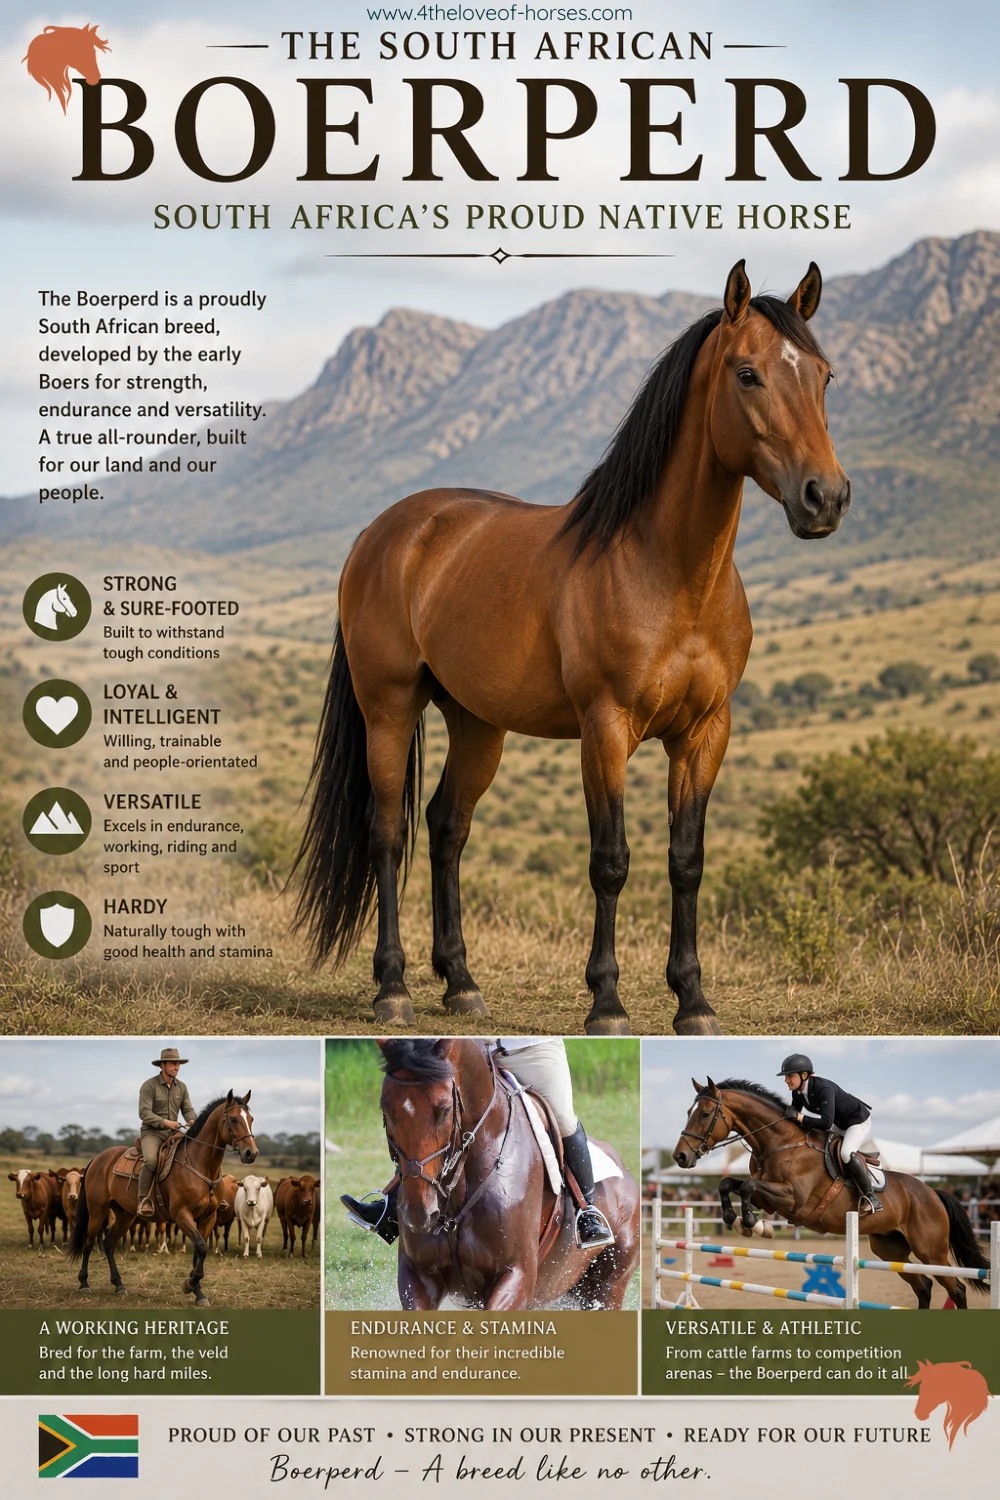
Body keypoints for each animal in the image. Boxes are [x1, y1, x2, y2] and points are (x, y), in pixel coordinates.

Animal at [69, 1092, 257, 1306]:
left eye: (251, 1119)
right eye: (233, 1119)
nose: (251, 1153)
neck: (200, 1164)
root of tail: (98, 1159)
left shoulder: (207, 1218)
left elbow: (199, 1251)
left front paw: (197, 1292)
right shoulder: (181, 1215)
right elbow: (201, 1247)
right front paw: (190, 1284)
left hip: (125, 1215)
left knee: (109, 1244)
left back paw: (119, 1285)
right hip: (97, 1211)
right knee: (89, 1242)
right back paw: (84, 1283)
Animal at [294, 260, 850, 1037]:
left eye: (825, 376)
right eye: (748, 374)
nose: (825, 498)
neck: (668, 572)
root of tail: (385, 532)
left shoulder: (705, 733)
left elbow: (686, 860)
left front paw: (693, 1001)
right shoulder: (605, 729)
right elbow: (610, 860)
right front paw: (607, 1003)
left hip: (477, 724)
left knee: (446, 827)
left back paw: (461, 983)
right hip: (390, 710)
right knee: (387, 834)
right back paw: (394, 989)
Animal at [376, 1037, 639, 1310]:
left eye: (445, 1110)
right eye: (385, 1109)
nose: (419, 1213)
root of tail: (626, 1176)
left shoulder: (517, 1275)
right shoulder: (417, 1275)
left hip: (606, 1288)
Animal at [673, 1079, 991, 1309]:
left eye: (704, 1114)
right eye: (688, 1113)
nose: (680, 1156)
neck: (779, 1142)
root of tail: (932, 1193)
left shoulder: (793, 1199)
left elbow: (748, 1187)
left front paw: (752, 1223)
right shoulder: (771, 1197)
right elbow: (728, 1184)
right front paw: (738, 1219)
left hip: (930, 1250)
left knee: (957, 1288)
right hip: (890, 1249)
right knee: (923, 1287)